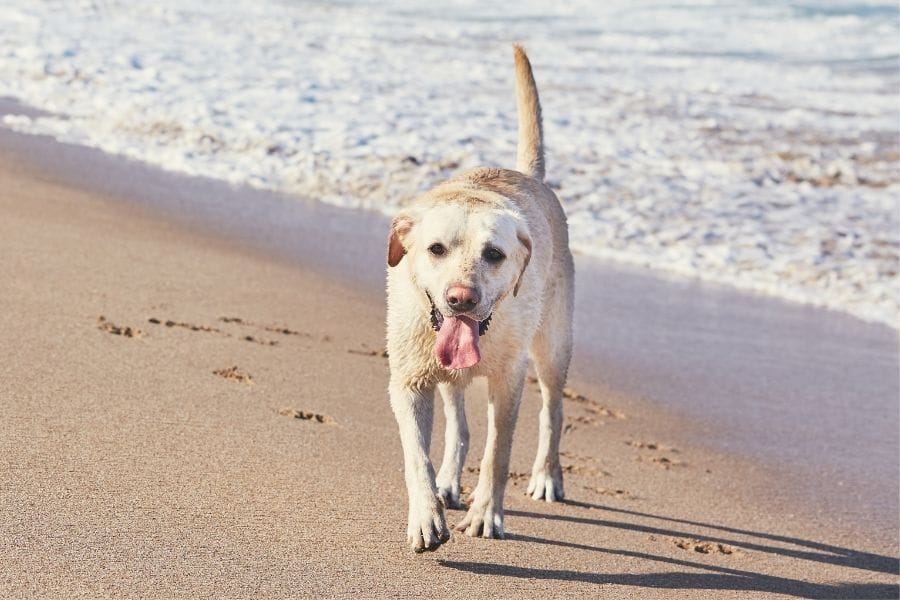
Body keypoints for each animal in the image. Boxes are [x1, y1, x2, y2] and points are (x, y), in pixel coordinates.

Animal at [384, 45, 572, 552]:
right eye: (435, 249)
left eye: (494, 254)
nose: (460, 299)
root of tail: (527, 175)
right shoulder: (408, 381)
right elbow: (416, 455)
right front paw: (426, 515)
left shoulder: (509, 380)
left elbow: (498, 454)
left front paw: (487, 514)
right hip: (446, 370)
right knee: (459, 425)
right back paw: (449, 481)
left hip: (553, 345)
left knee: (552, 409)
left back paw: (547, 476)